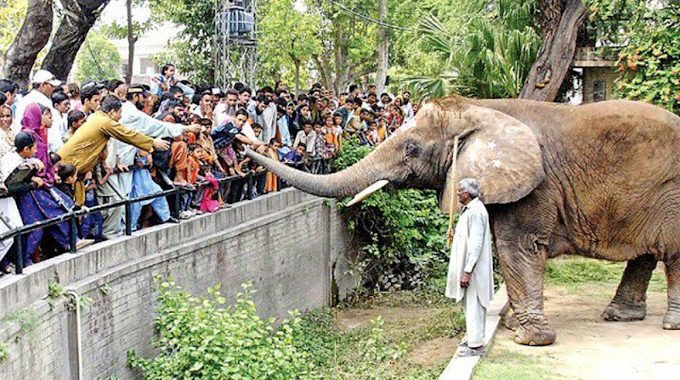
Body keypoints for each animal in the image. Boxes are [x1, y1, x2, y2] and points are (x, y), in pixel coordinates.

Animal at [247, 96, 680, 346]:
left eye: (411, 147)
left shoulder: (535, 185)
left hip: (672, 191)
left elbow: (517, 247)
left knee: (673, 254)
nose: (244, 145)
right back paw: (619, 315)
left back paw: (670, 326)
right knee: (645, 254)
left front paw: (529, 339)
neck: (480, 108)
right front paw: (514, 328)